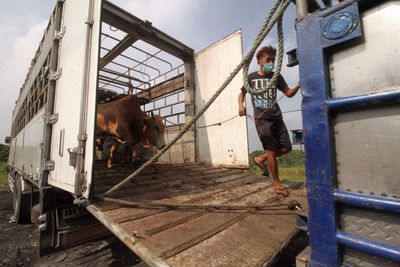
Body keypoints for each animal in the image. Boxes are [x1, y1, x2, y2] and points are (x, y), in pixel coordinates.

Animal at [6, 0, 308, 266]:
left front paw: (124, 161)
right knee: (99, 144)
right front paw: (123, 161)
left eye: (164, 128)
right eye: (154, 126)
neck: (134, 119)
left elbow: (126, 147)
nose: (162, 145)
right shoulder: (121, 132)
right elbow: (125, 145)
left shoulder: (125, 136)